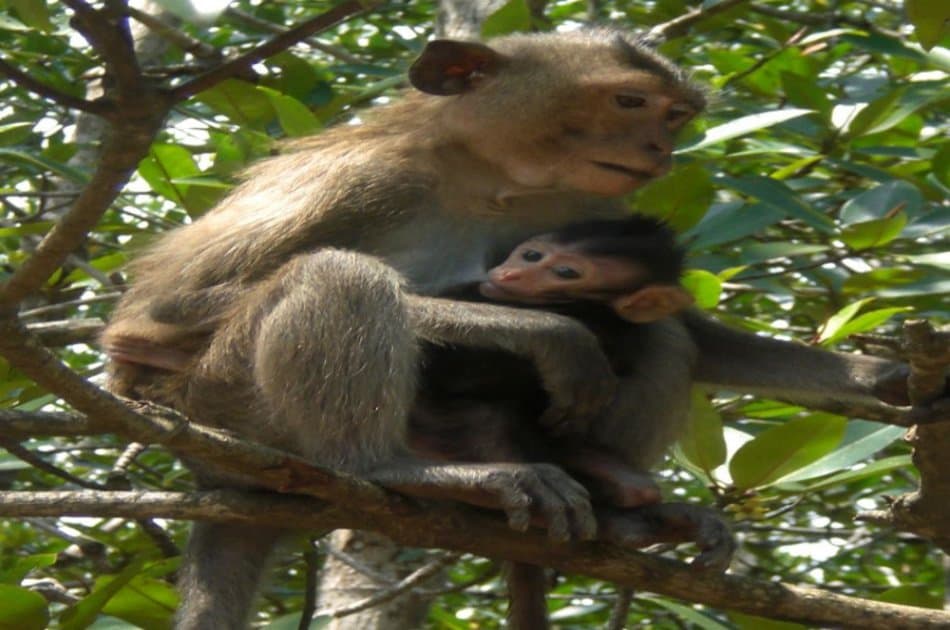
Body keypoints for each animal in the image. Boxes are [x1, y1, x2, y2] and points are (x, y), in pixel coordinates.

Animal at [99, 31, 940, 629]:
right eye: (629, 104)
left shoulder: (575, 203)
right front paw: (550, 335)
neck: (485, 176)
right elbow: (156, 322)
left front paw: (884, 379)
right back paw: (388, 467)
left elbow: (683, 326)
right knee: (334, 275)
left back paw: (623, 510)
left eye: (673, 115)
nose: (660, 148)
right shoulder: (356, 181)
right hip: (232, 411)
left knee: (662, 340)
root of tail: (215, 477)